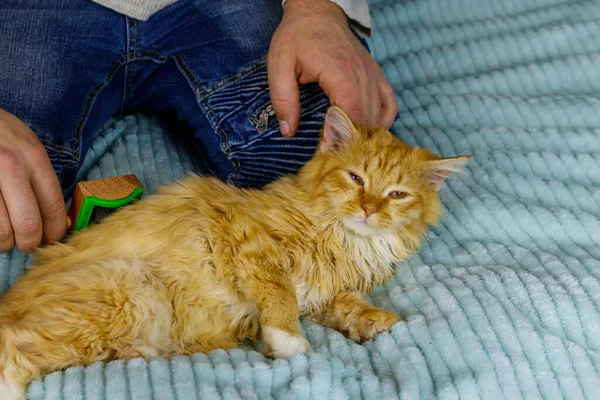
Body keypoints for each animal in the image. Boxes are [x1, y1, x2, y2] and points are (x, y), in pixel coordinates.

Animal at [0, 104, 468, 398]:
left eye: (397, 194)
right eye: (355, 179)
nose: (369, 209)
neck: (346, 240)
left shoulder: (327, 292)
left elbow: (346, 305)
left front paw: (376, 322)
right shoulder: (247, 236)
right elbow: (280, 294)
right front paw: (286, 340)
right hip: (127, 289)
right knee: (15, 350)